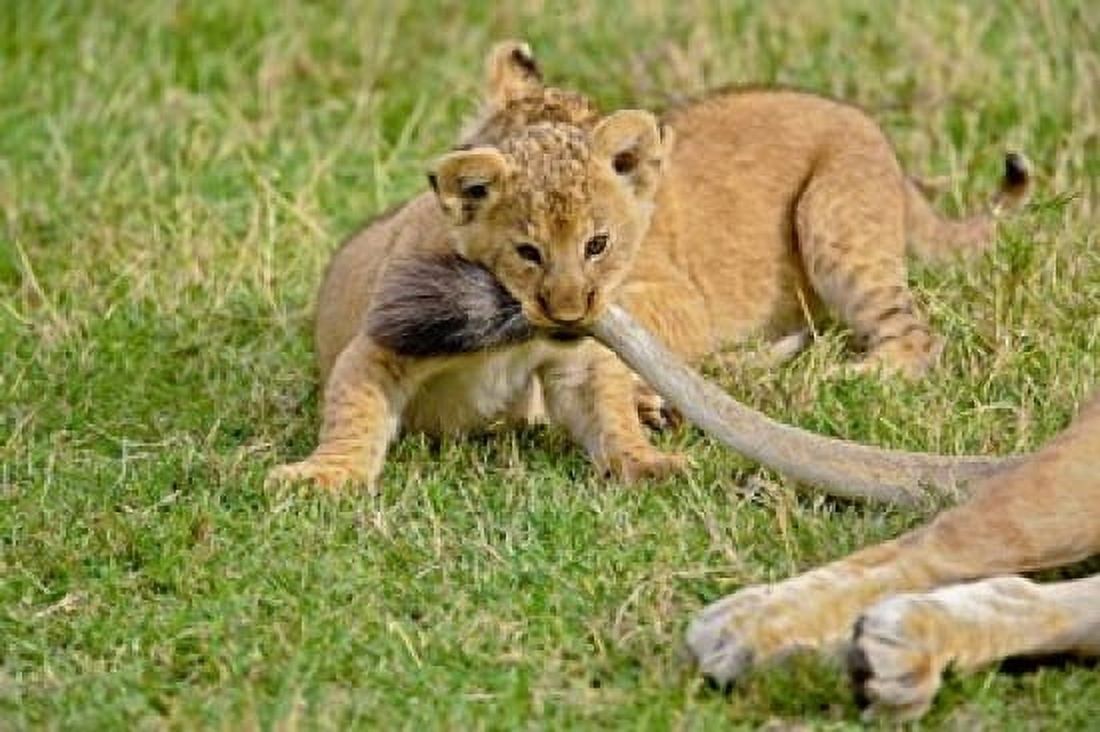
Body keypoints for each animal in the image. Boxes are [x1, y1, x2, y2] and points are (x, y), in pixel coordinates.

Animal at [267, 41, 1028, 491]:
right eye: (524, 248)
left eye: (598, 243)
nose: (445, 185)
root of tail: (869, 128)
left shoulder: (671, 298)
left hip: (836, 224)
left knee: (911, 337)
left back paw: (834, 376)